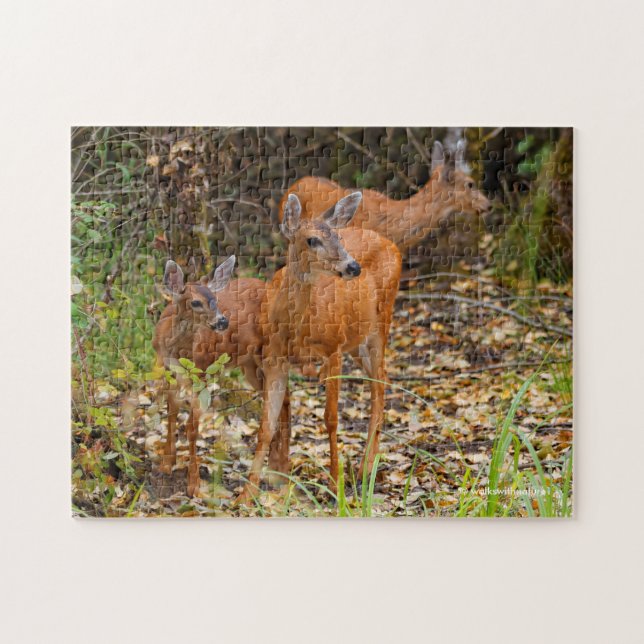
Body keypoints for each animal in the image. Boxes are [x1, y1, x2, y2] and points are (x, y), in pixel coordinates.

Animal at [153, 256, 290, 497]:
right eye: (195, 303)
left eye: (215, 299)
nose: (223, 322)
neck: (180, 350)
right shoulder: (168, 370)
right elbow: (171, 414)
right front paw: (167, 464)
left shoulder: (202, 373)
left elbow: (192, 427)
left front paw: (194, 484)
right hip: (249, 364)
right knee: (284, 397)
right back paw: (277, 464)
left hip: (269, 355)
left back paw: (281, 465)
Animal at [237, 191, 402, 505]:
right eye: (312, 240)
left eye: (337, 236)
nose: (353, 267)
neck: (296, 330)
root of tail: (391, 243)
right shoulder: (274, 358)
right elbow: (266, 425)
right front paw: (245, 494)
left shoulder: (333, 349)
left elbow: (331, 418)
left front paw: (335, 484)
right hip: (357, 340)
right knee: (382, 377)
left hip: (380, 322)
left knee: (379, 383)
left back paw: (364, 469)